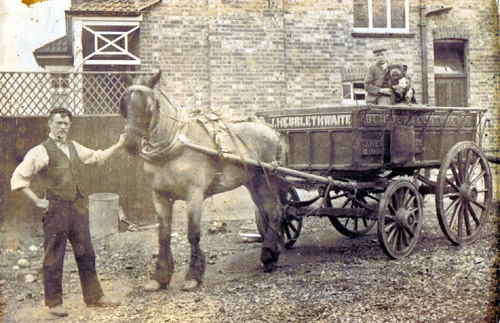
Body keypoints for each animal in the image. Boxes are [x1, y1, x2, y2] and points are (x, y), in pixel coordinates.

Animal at [120, 71, 290, 294]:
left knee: (276, 213)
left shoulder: (194, 195)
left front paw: (193, 276)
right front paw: (159, 277)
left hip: (267, 180)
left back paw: (269, 256)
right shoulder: (159, 196)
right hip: (254, 184)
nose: (130, 144)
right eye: (124, 105)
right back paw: (271, 254)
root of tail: (272, 131)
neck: (176, 144)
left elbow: (193, 234)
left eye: (148, 107)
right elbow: (163, 235)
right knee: (268, 213)